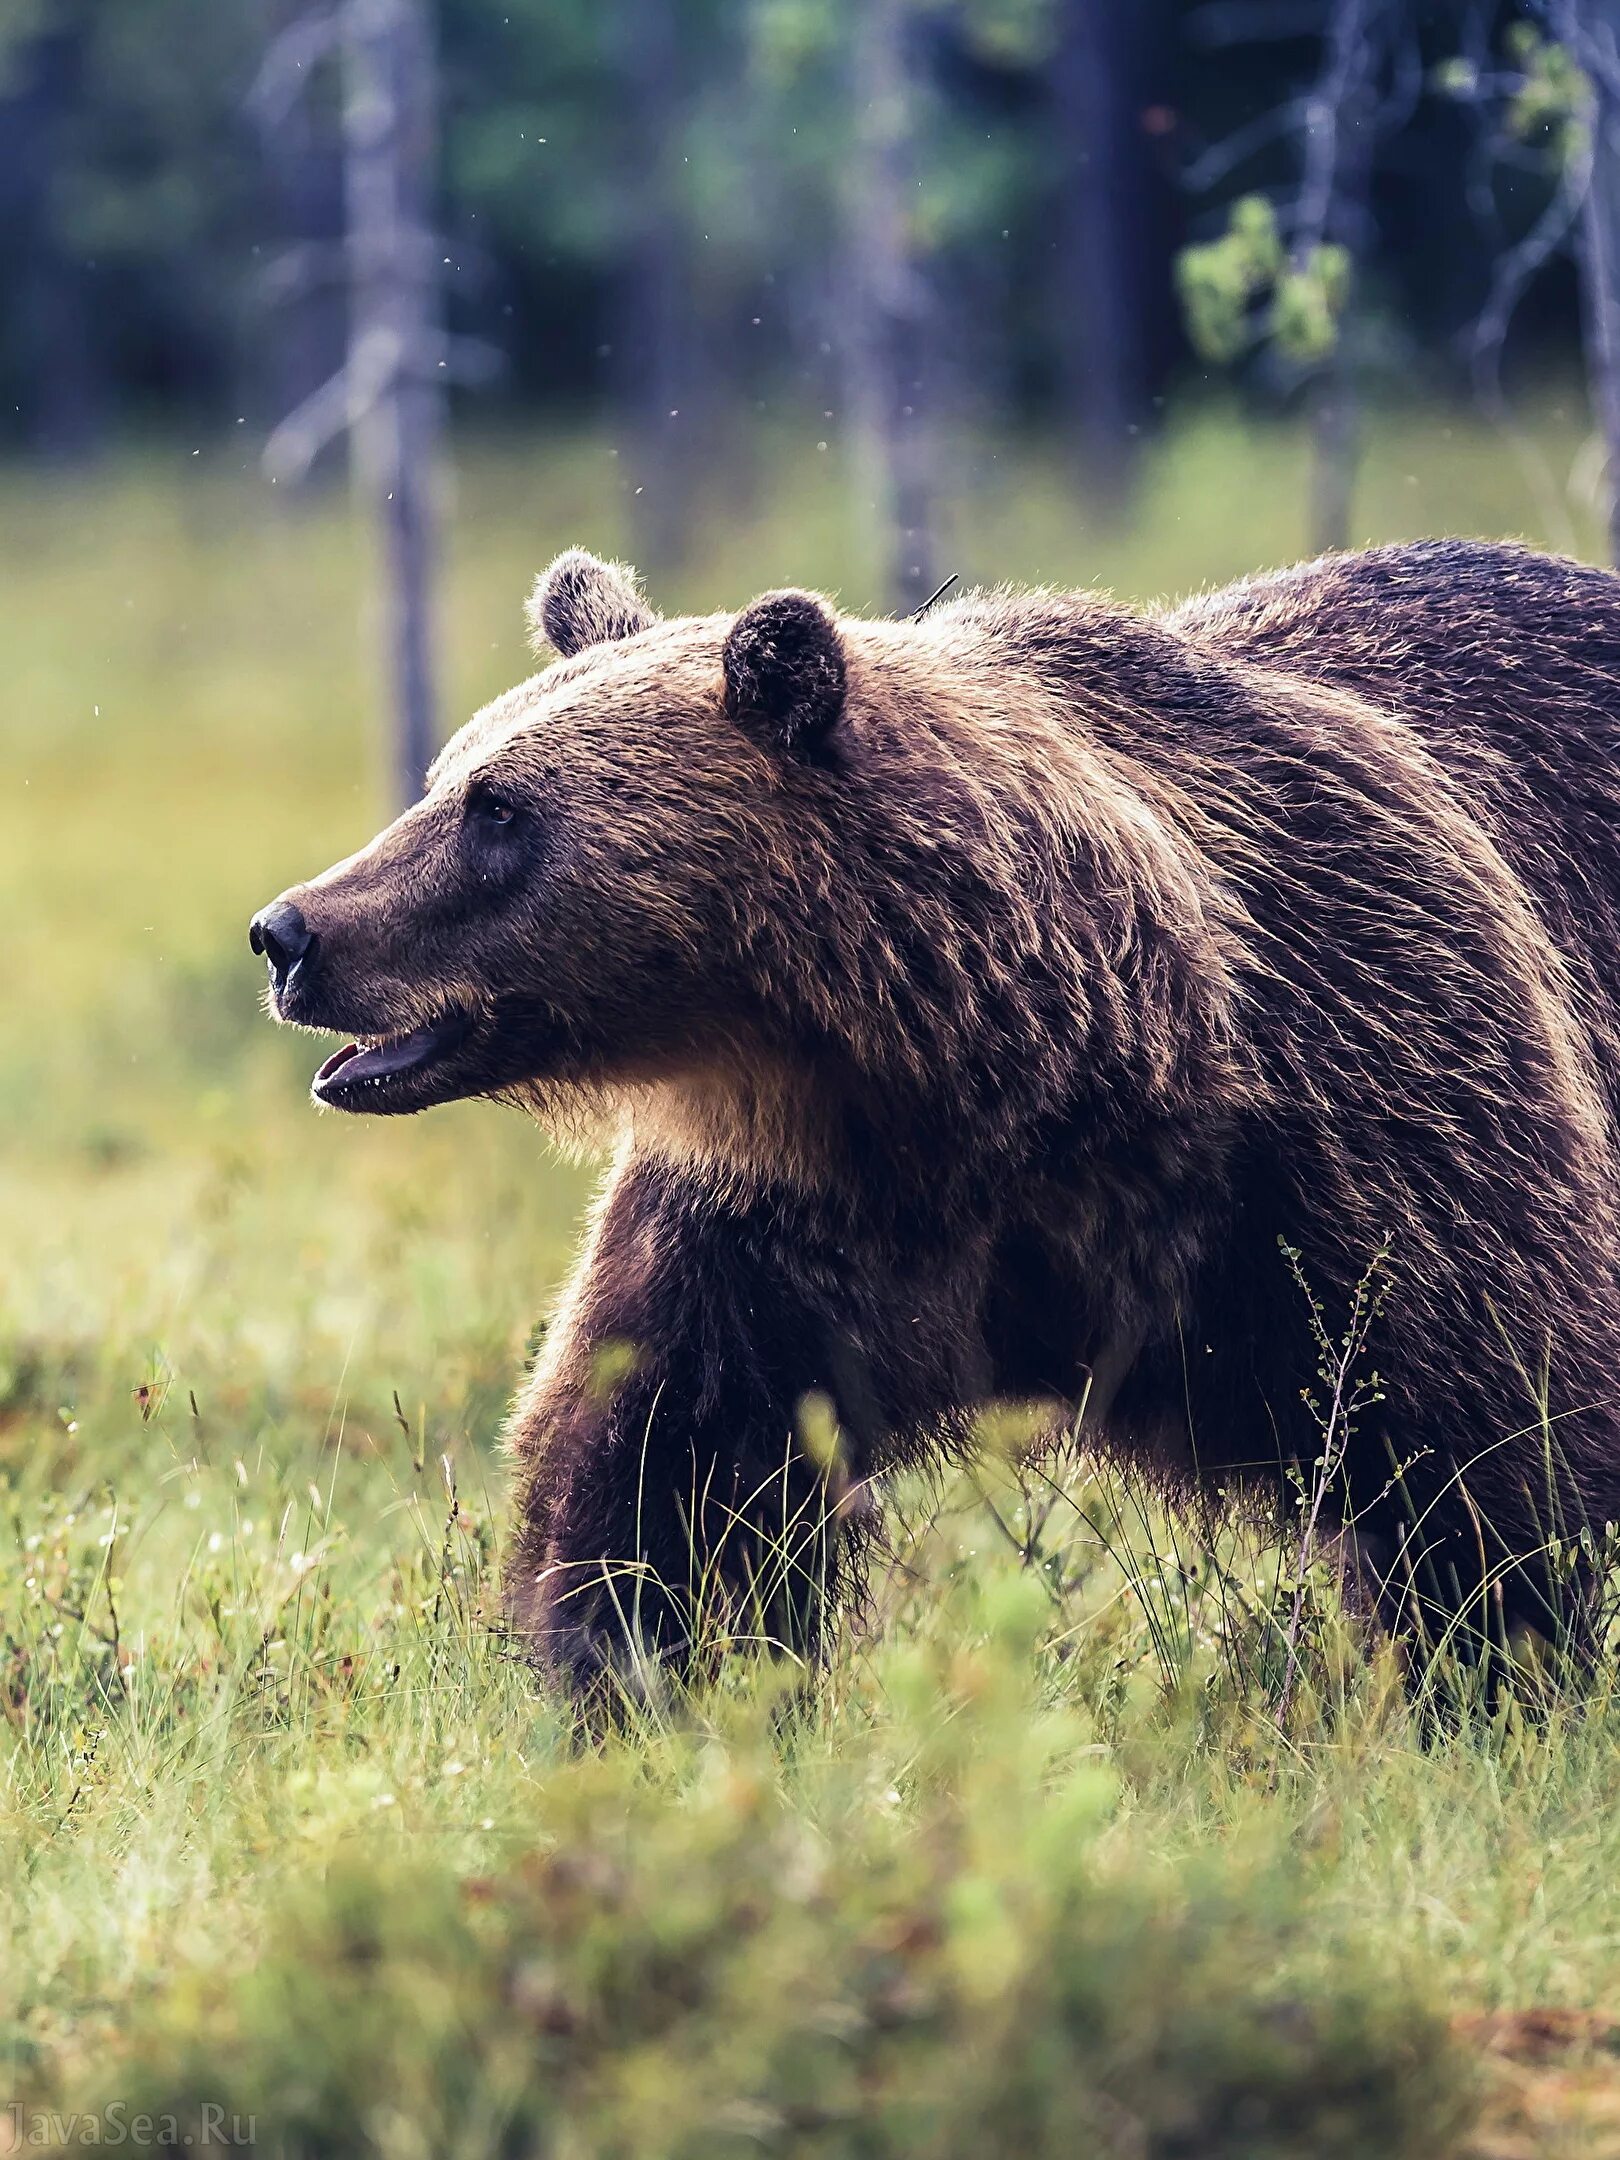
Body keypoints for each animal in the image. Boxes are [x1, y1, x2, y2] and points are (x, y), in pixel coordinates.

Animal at [247, 540, 1620, 1684]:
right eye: (446, 779)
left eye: (500, 811)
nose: (291, 932)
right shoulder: (788, 1217)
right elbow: (668, 1462)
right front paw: (640, 1674)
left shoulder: (1357, 1103)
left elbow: (1485, 1440)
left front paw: (1492, 1676)